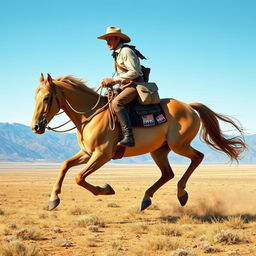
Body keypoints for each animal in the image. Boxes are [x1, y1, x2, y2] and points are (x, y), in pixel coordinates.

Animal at [30, 73, 248, 210]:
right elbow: (65, 166)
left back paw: (181, 194)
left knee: (198, 157)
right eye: (35, 97)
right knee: (167, 173)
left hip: (179, 146)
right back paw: (146, 199)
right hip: (159, 151)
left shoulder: (102, 155)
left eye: (47, 98)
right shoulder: (87, 153)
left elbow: (79, 177)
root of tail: (189, 106)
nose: (35, 127)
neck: (91, 114)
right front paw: (53, 199)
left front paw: (106, 189)